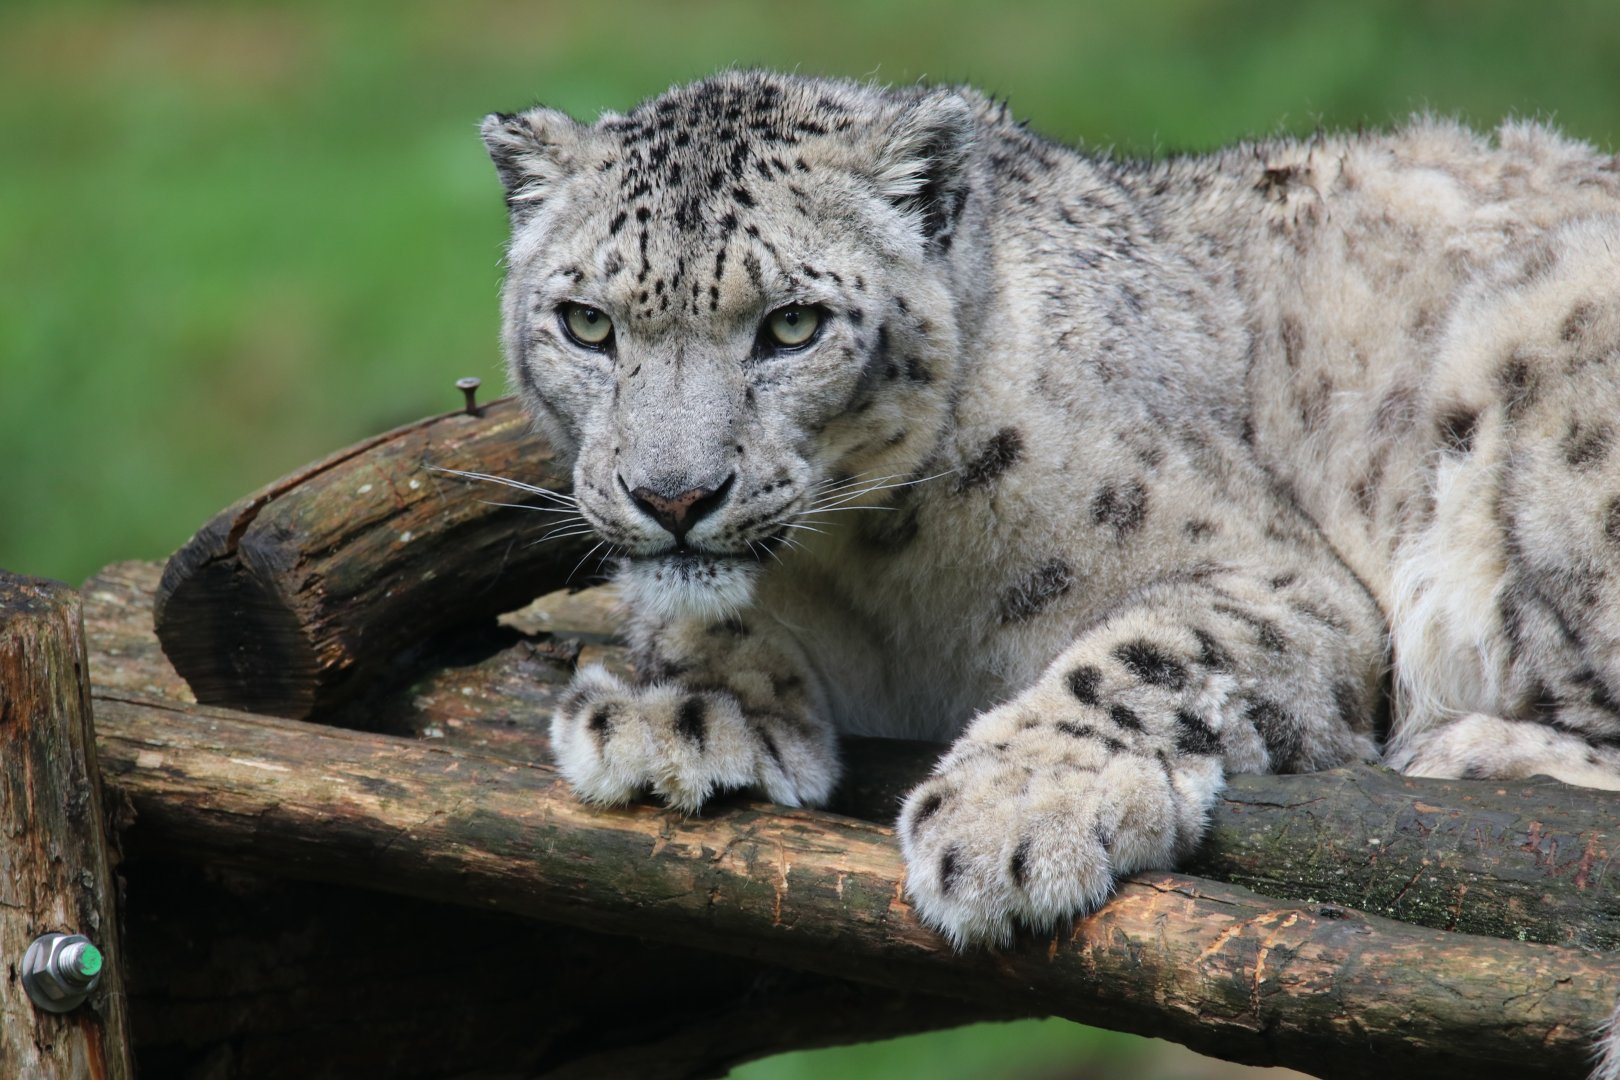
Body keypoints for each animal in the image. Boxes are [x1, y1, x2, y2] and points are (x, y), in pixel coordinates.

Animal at [479, 71, 1620, 1071]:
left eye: (792, 324)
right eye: (586, 322)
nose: (673, 498)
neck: (869, 583)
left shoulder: (1280, 579)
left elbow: (1153, 653)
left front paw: (1012, 817)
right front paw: (675, 715)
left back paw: (1468, 751)